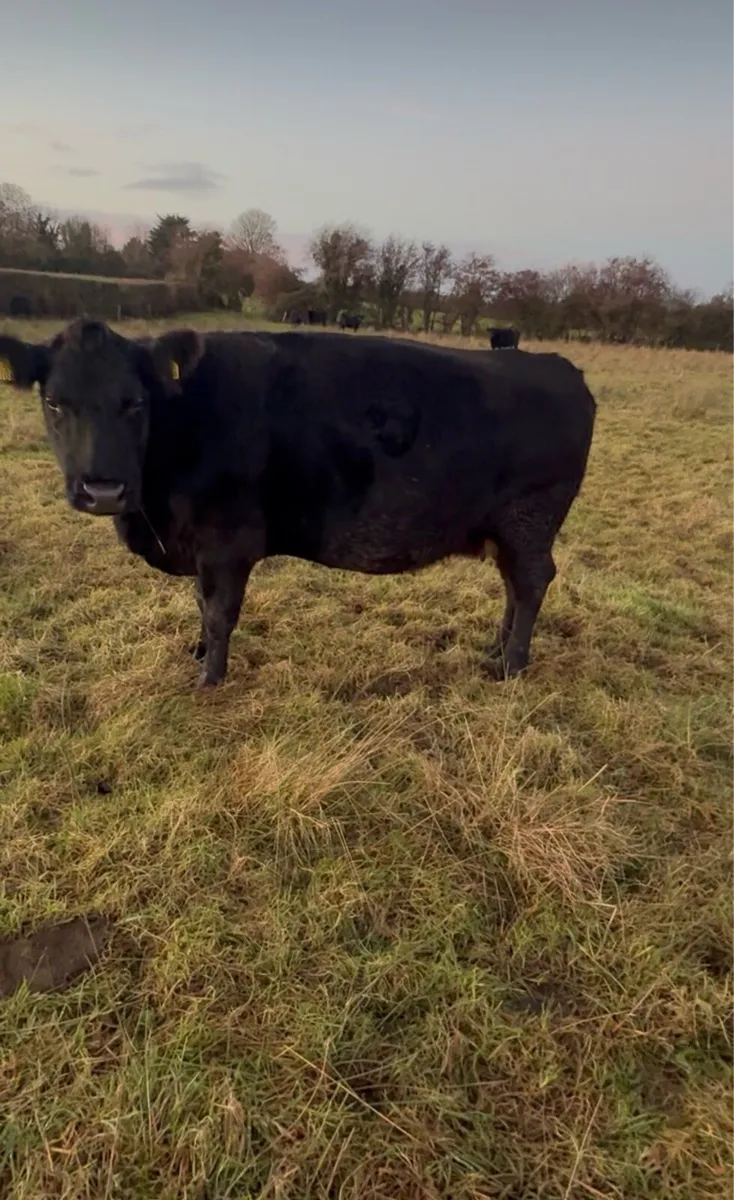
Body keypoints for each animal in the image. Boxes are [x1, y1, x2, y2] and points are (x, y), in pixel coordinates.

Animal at [0, 320, 596, 689]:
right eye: (55, 402)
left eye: (135, 402)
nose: (102, 488)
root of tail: (557, 366)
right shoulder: (201, 545)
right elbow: (199, 604)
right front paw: (198, 654)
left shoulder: (227, 542)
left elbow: (219, 612)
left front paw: (210, 678)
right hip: (503, 529)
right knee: (513, 587)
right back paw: (495, 650)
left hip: (529, 521)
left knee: (532, 583)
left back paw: (512, 664)